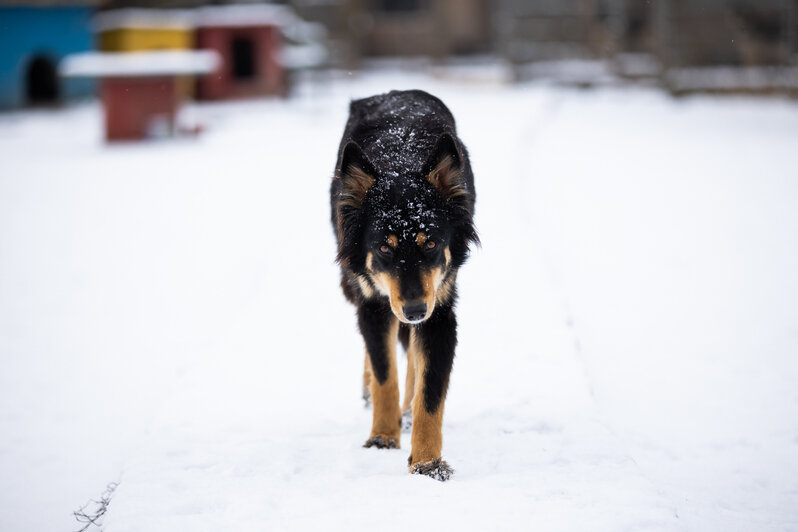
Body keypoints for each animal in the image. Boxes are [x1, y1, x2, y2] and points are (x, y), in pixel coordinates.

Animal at [330, 89, 478, 480]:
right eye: (384, 247)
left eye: (430, 243)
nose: (413, 310)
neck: (401, 157)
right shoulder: (373, 302)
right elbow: (385, 375)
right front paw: (383, 437)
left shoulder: (439, 311)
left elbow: (430, 392)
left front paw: (427, 462)